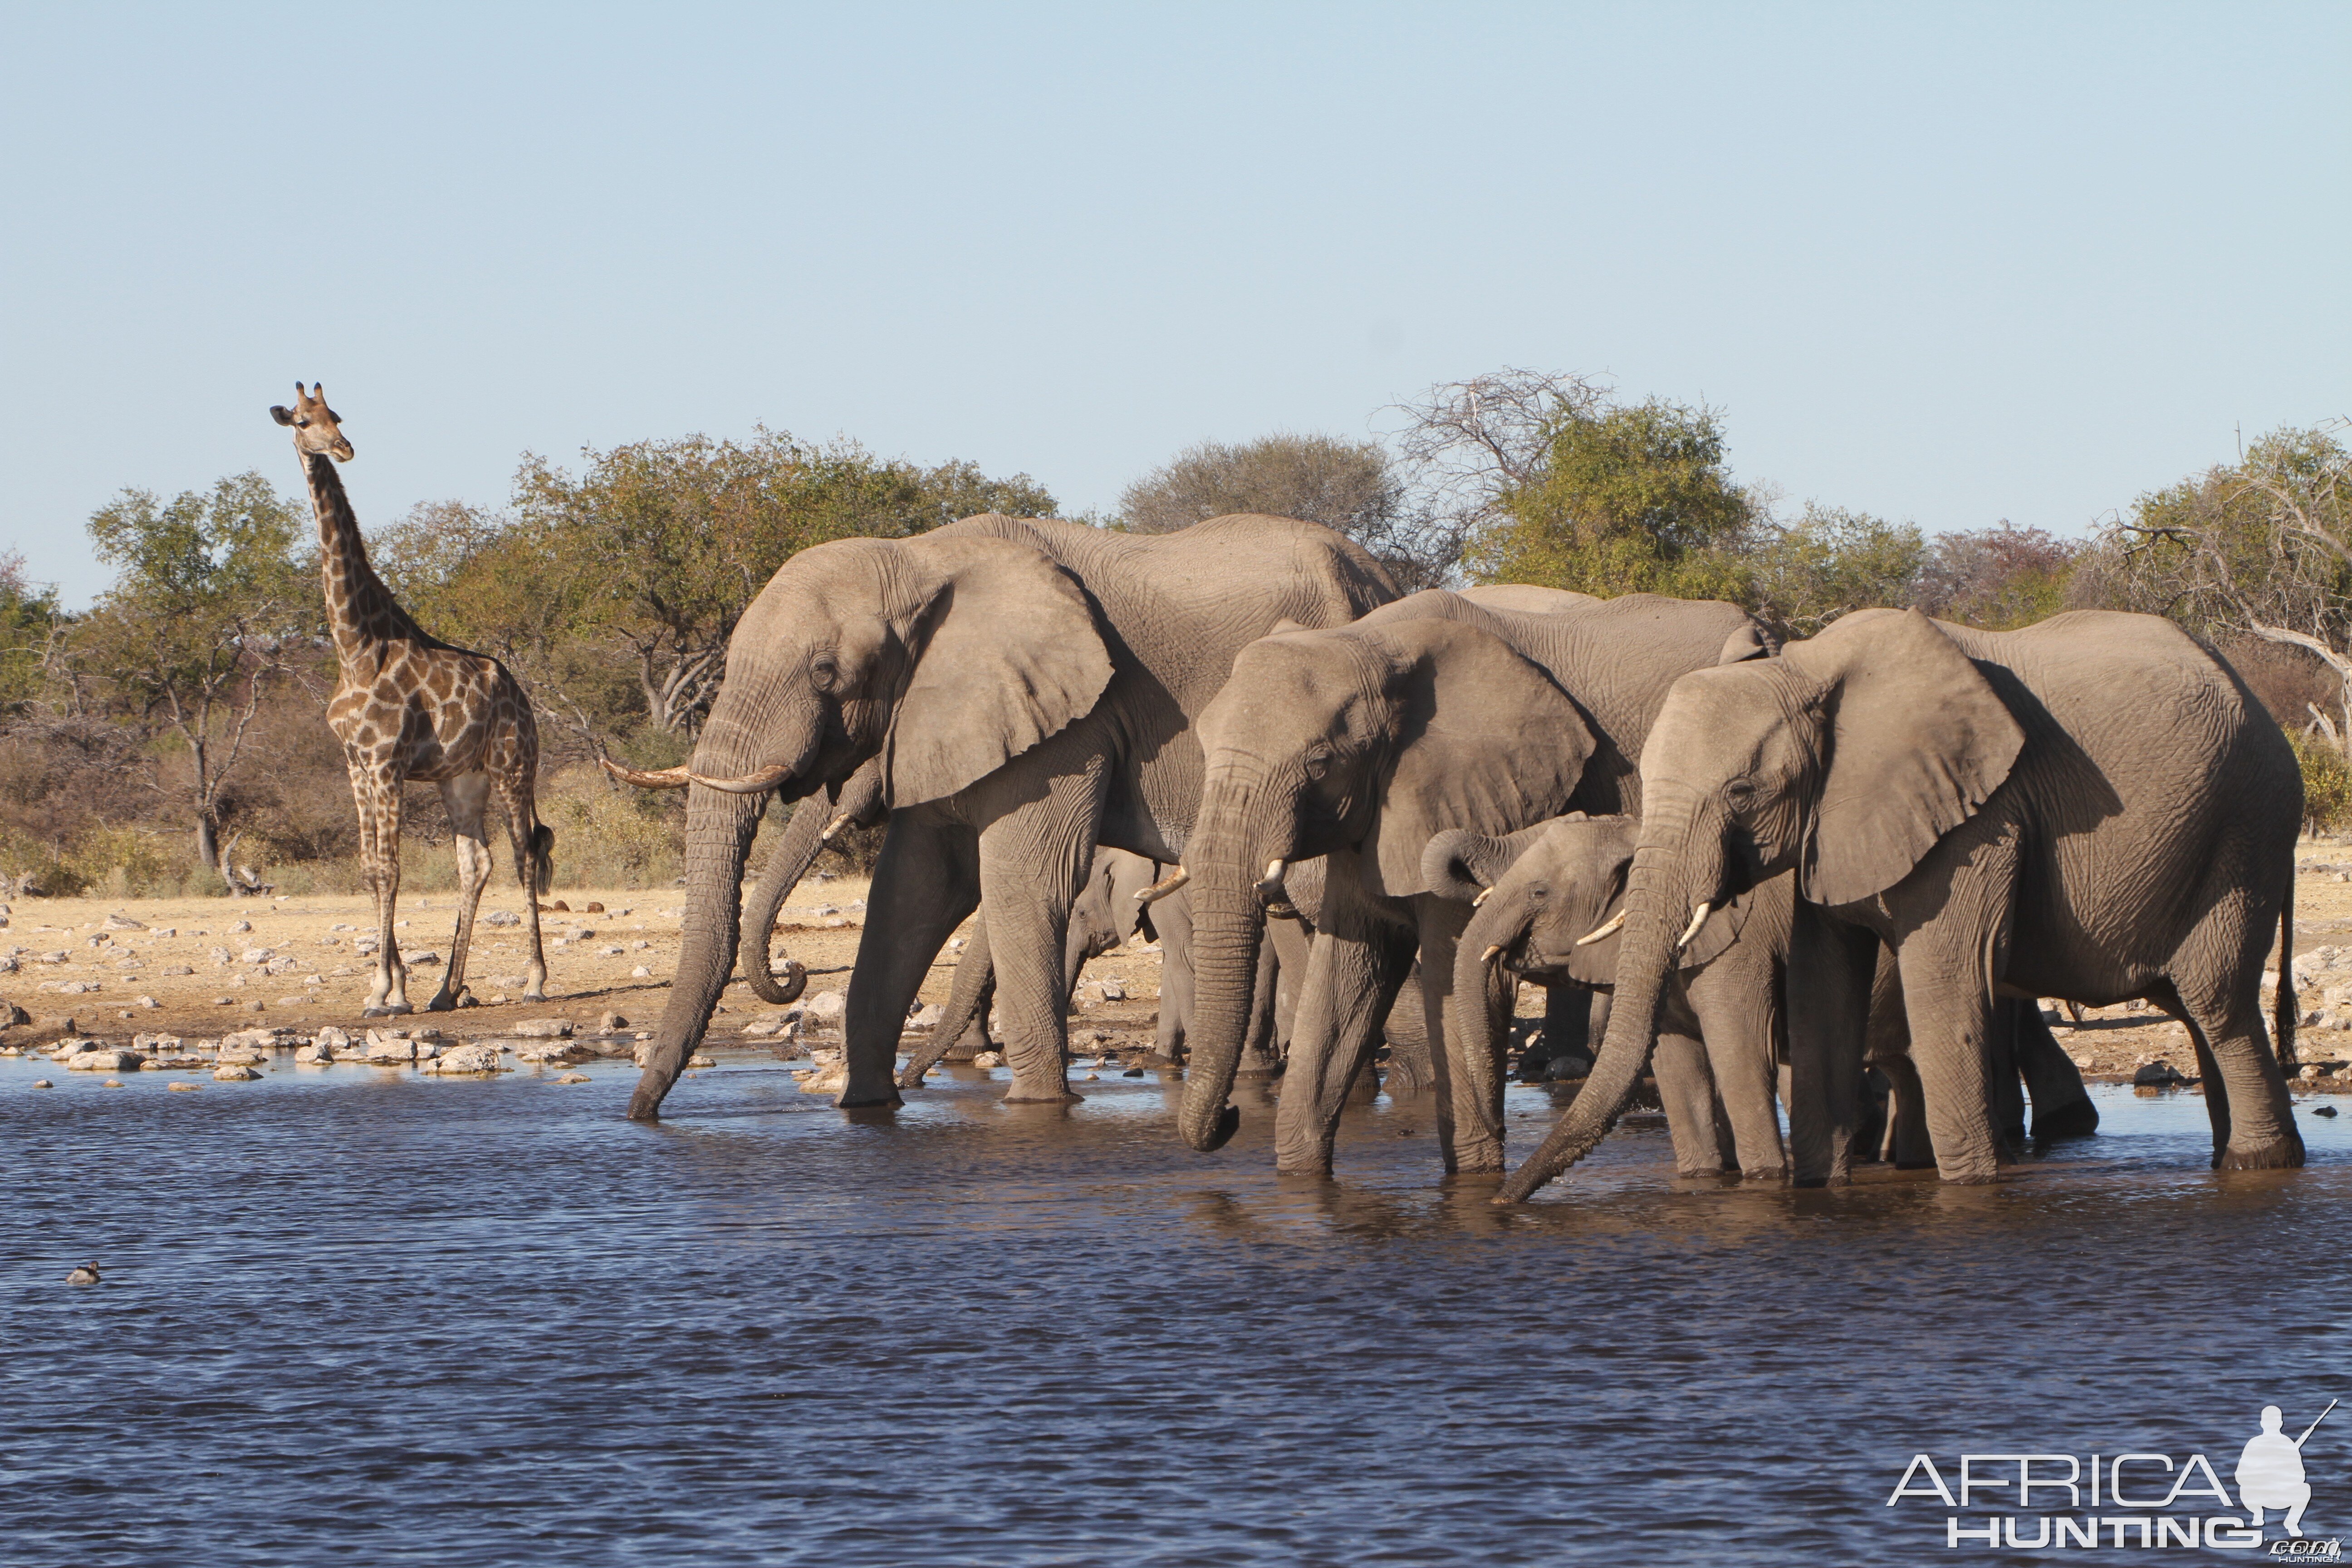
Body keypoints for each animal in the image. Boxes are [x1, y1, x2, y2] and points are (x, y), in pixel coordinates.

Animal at [270, 385, 550, 1011]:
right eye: (302, 421)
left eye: (336, 416)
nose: (344, 448)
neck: (354, 646)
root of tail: (523, 698)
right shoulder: (356, 765)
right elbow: (370, 868)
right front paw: (392, 985)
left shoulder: (386, 762)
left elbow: (392, 870)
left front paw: (387, 991)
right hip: (462, 778)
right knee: (477, 862)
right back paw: (447, 991)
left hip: (513, 766)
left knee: (525, 855)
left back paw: (535, 981)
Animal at [607, 512, 1392, 1114]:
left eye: (826, 672)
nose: (641, 1114)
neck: (919, 557)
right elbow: (914, 891)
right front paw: (868, 1105)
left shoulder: (1070, 724)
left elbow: (1020, 882)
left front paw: (1040, 1105)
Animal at [1166, 588, 1769, 1175]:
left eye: (1319, 762)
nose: (1232, 1118)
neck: (1368, 642)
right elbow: (1347, 977)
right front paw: (1301, 1178)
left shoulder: (1473, 791)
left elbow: (1453, 971)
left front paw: (1476, 1177)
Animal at [1505, 606, 2295, 1203]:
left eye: (1741, 792)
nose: (1507, 1201)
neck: (1808, 672)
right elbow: (1824, 996)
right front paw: (1816, 1190)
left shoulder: (1981, 820)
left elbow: (1946, 987)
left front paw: (1970, 1190)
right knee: (2195, 1009)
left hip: (2243, 832)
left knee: (2216, 1002)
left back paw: (2258, 1166)